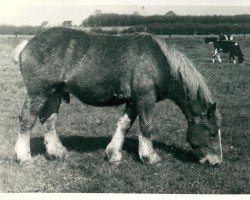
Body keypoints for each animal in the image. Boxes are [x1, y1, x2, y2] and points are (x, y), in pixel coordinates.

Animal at [14, 27, 223, 166]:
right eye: (212, 132)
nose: (216, 162)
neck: (159, 62)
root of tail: (27, 45)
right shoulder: (145, 99)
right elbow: (146, 127)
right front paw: (150, 157)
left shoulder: (133, 101)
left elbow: (124, 125)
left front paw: (113, 154)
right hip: (38, 94)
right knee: (26, 120)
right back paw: (24, 156)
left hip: (54, 94)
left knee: (49, 121)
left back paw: (56, 152)